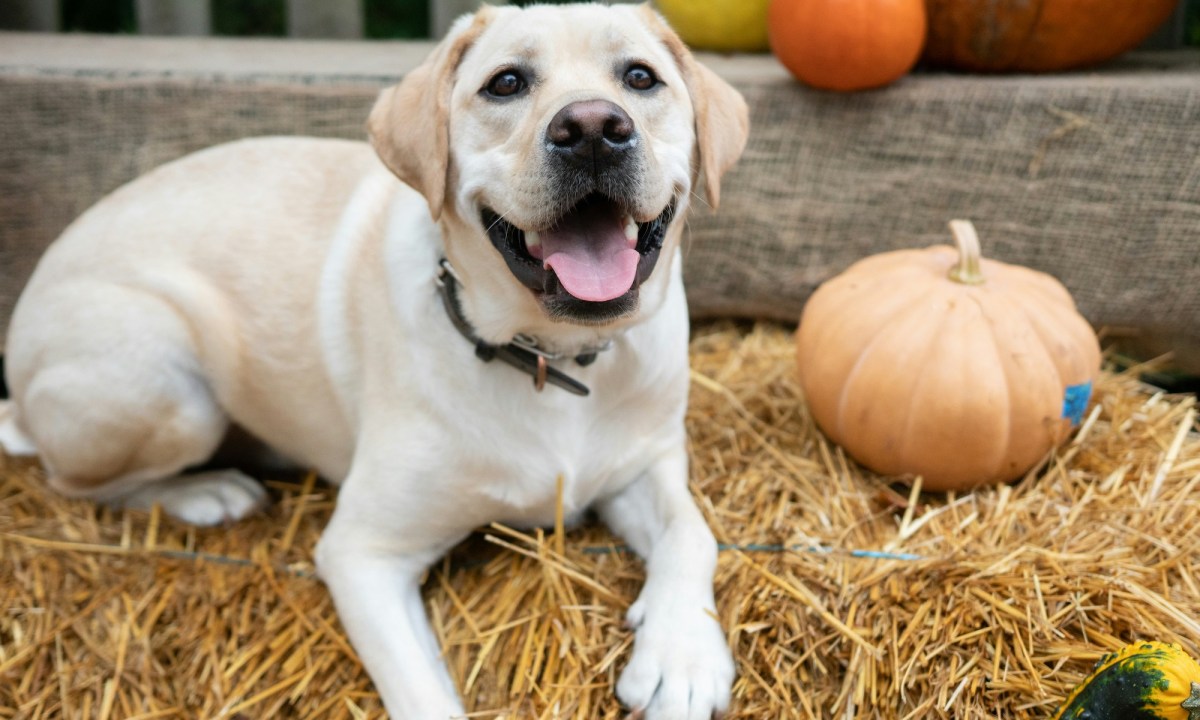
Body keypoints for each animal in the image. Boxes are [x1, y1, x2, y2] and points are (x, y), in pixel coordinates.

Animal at [2, 2, 748, 715]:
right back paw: (204, 491)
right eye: (506, 83)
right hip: (171, 387)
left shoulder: (647, 461)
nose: (592, 128)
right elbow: (424, 697)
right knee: (78, 482)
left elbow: (694, 533)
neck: (546, 354)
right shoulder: (363, 553)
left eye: (641, 78)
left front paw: (681, 657)